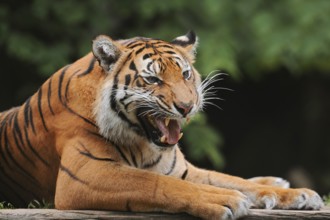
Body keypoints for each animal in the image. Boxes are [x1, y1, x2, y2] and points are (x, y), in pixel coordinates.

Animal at [0, 31, 324, 219]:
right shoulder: (82, 176)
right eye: (153, 79)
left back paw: (276, 182)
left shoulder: (181, 168)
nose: (187, 106)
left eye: (185, 74)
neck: (143, 142)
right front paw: (226, 200)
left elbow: (233, 180)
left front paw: (301, 196)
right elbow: (154, 183)